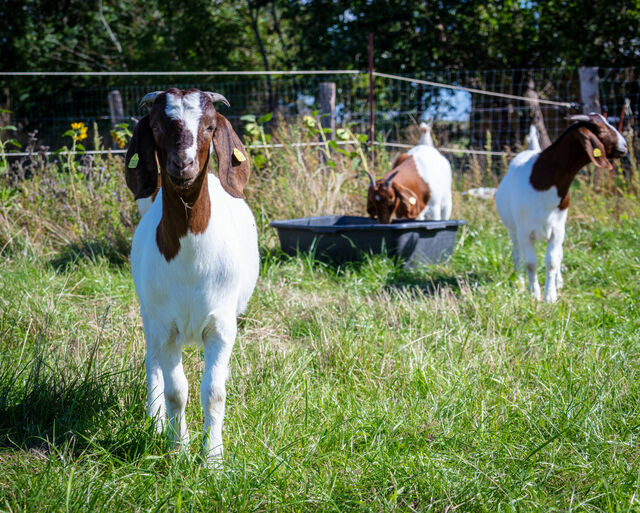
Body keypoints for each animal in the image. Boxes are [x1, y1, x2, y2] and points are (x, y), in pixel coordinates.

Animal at [124, 88, 258, 464]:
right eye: (156, 126)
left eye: (210, 127)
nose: (182, 165)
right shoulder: (165, 326)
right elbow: (176, 390)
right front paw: (178, 449)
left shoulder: (222, 326)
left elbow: (214, 391)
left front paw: (213, 459)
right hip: (148, 314)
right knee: (151, 362)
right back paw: (155, 421)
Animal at [496, 112, 632, 302]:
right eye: (602, 130)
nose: (625, 147)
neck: (543, 179)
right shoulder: (524, 231)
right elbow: (530, 263)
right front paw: (534, 293)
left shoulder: (557, 228)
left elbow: (552, 261)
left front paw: (550, 295)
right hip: (513, 230)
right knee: (518, 255)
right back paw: (521, 282)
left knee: (558, 254)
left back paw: (558, 282)